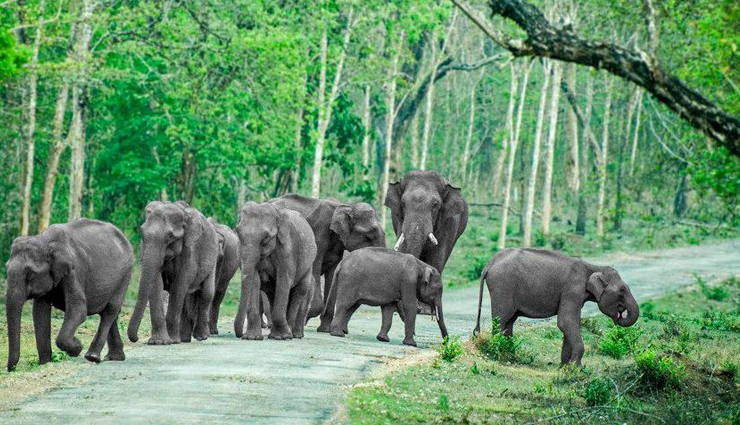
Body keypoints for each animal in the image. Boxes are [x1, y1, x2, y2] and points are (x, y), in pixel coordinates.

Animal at [5, 219, 133, 371]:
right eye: (6, 268)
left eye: (30, 274)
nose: (11, 369)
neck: (44, 241)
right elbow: (39, 313)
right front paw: (45, 363)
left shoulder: (73, 270)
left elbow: (78, 310)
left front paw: (77, 348)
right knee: (110, 312)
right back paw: (114, 358)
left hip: (125, 274)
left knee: (110, 310)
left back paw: (92, 356)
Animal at [128, 201, 218, 345]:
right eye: (142, 234)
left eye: (170, 237)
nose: (135, 338)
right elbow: (156, 284)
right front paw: (159, 342)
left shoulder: (190, 250)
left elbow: (179, 284)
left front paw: (171, 341)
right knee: (186, 297)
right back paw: (184, 339)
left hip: (213, 257)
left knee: (206, 293)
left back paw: (200, 337)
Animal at [234, 201, 317, 340]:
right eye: (238, 233)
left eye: (265, 238)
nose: (239, 334)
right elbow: (255, 281)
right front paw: (252, 337)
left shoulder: (288, 248)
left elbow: (284, 280)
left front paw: (281, 337)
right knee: (271, 292)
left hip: (308, 266)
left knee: (300, 290)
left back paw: (292, 334)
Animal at [269, 194, 385, 332]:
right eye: (368, 236)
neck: (346, 206)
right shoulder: (319, 235)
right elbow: (315, 268)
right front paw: (307, 318)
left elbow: (332, 274)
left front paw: (324, 329)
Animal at [474, 248, 640, 365]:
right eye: (622, 290)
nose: (619, 316)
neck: (592, 267)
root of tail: (489, 263)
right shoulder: (572, 289)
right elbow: (566, 322)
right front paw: (576, 369)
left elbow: (572, 323)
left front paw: (565, 367)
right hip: (502, 287)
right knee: (501, 320)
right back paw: (499, 355)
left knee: (509, 321)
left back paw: (510, 356)